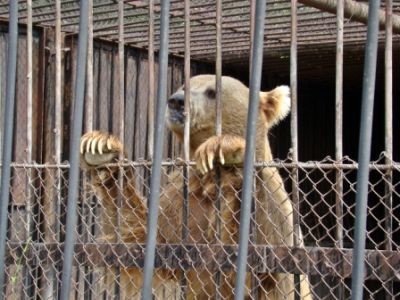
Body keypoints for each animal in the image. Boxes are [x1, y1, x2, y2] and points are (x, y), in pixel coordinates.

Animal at [79, 74, 310, 298]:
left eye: (212, 92)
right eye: (184, 85)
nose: (176, 101)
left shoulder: (275, 222)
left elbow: (252, 267)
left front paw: (226, 148)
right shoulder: (180, 204)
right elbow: (137, 241)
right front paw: (101, 147)